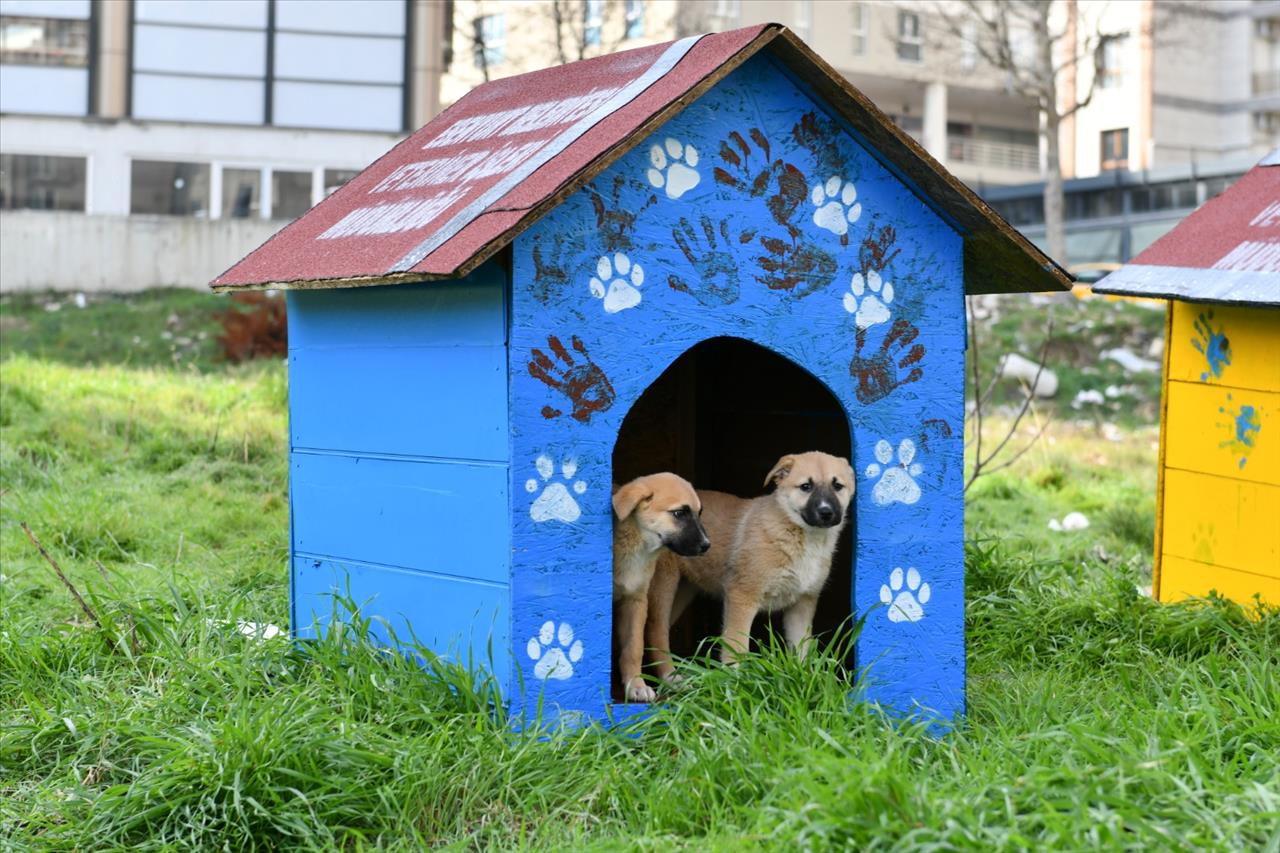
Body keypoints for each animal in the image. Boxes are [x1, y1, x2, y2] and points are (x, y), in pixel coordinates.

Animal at [609, 471, 711, 696]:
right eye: (679, 513)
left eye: (699, 513)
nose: (707, 545)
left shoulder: (636, 601)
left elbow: (634, 647)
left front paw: (636, 685)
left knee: (658, 635)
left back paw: (671, 676)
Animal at [645, 448, 855, 676]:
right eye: (806, 487)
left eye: (837, 486)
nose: (826, 512)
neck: (803, 537)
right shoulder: (742, 596)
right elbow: (736, 648)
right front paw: (736, 680)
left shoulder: (802, 603)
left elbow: (801, 650)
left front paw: (805, 678)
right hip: (664, 585)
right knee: (655, 632)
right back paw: (670, 677)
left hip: (683, 590)